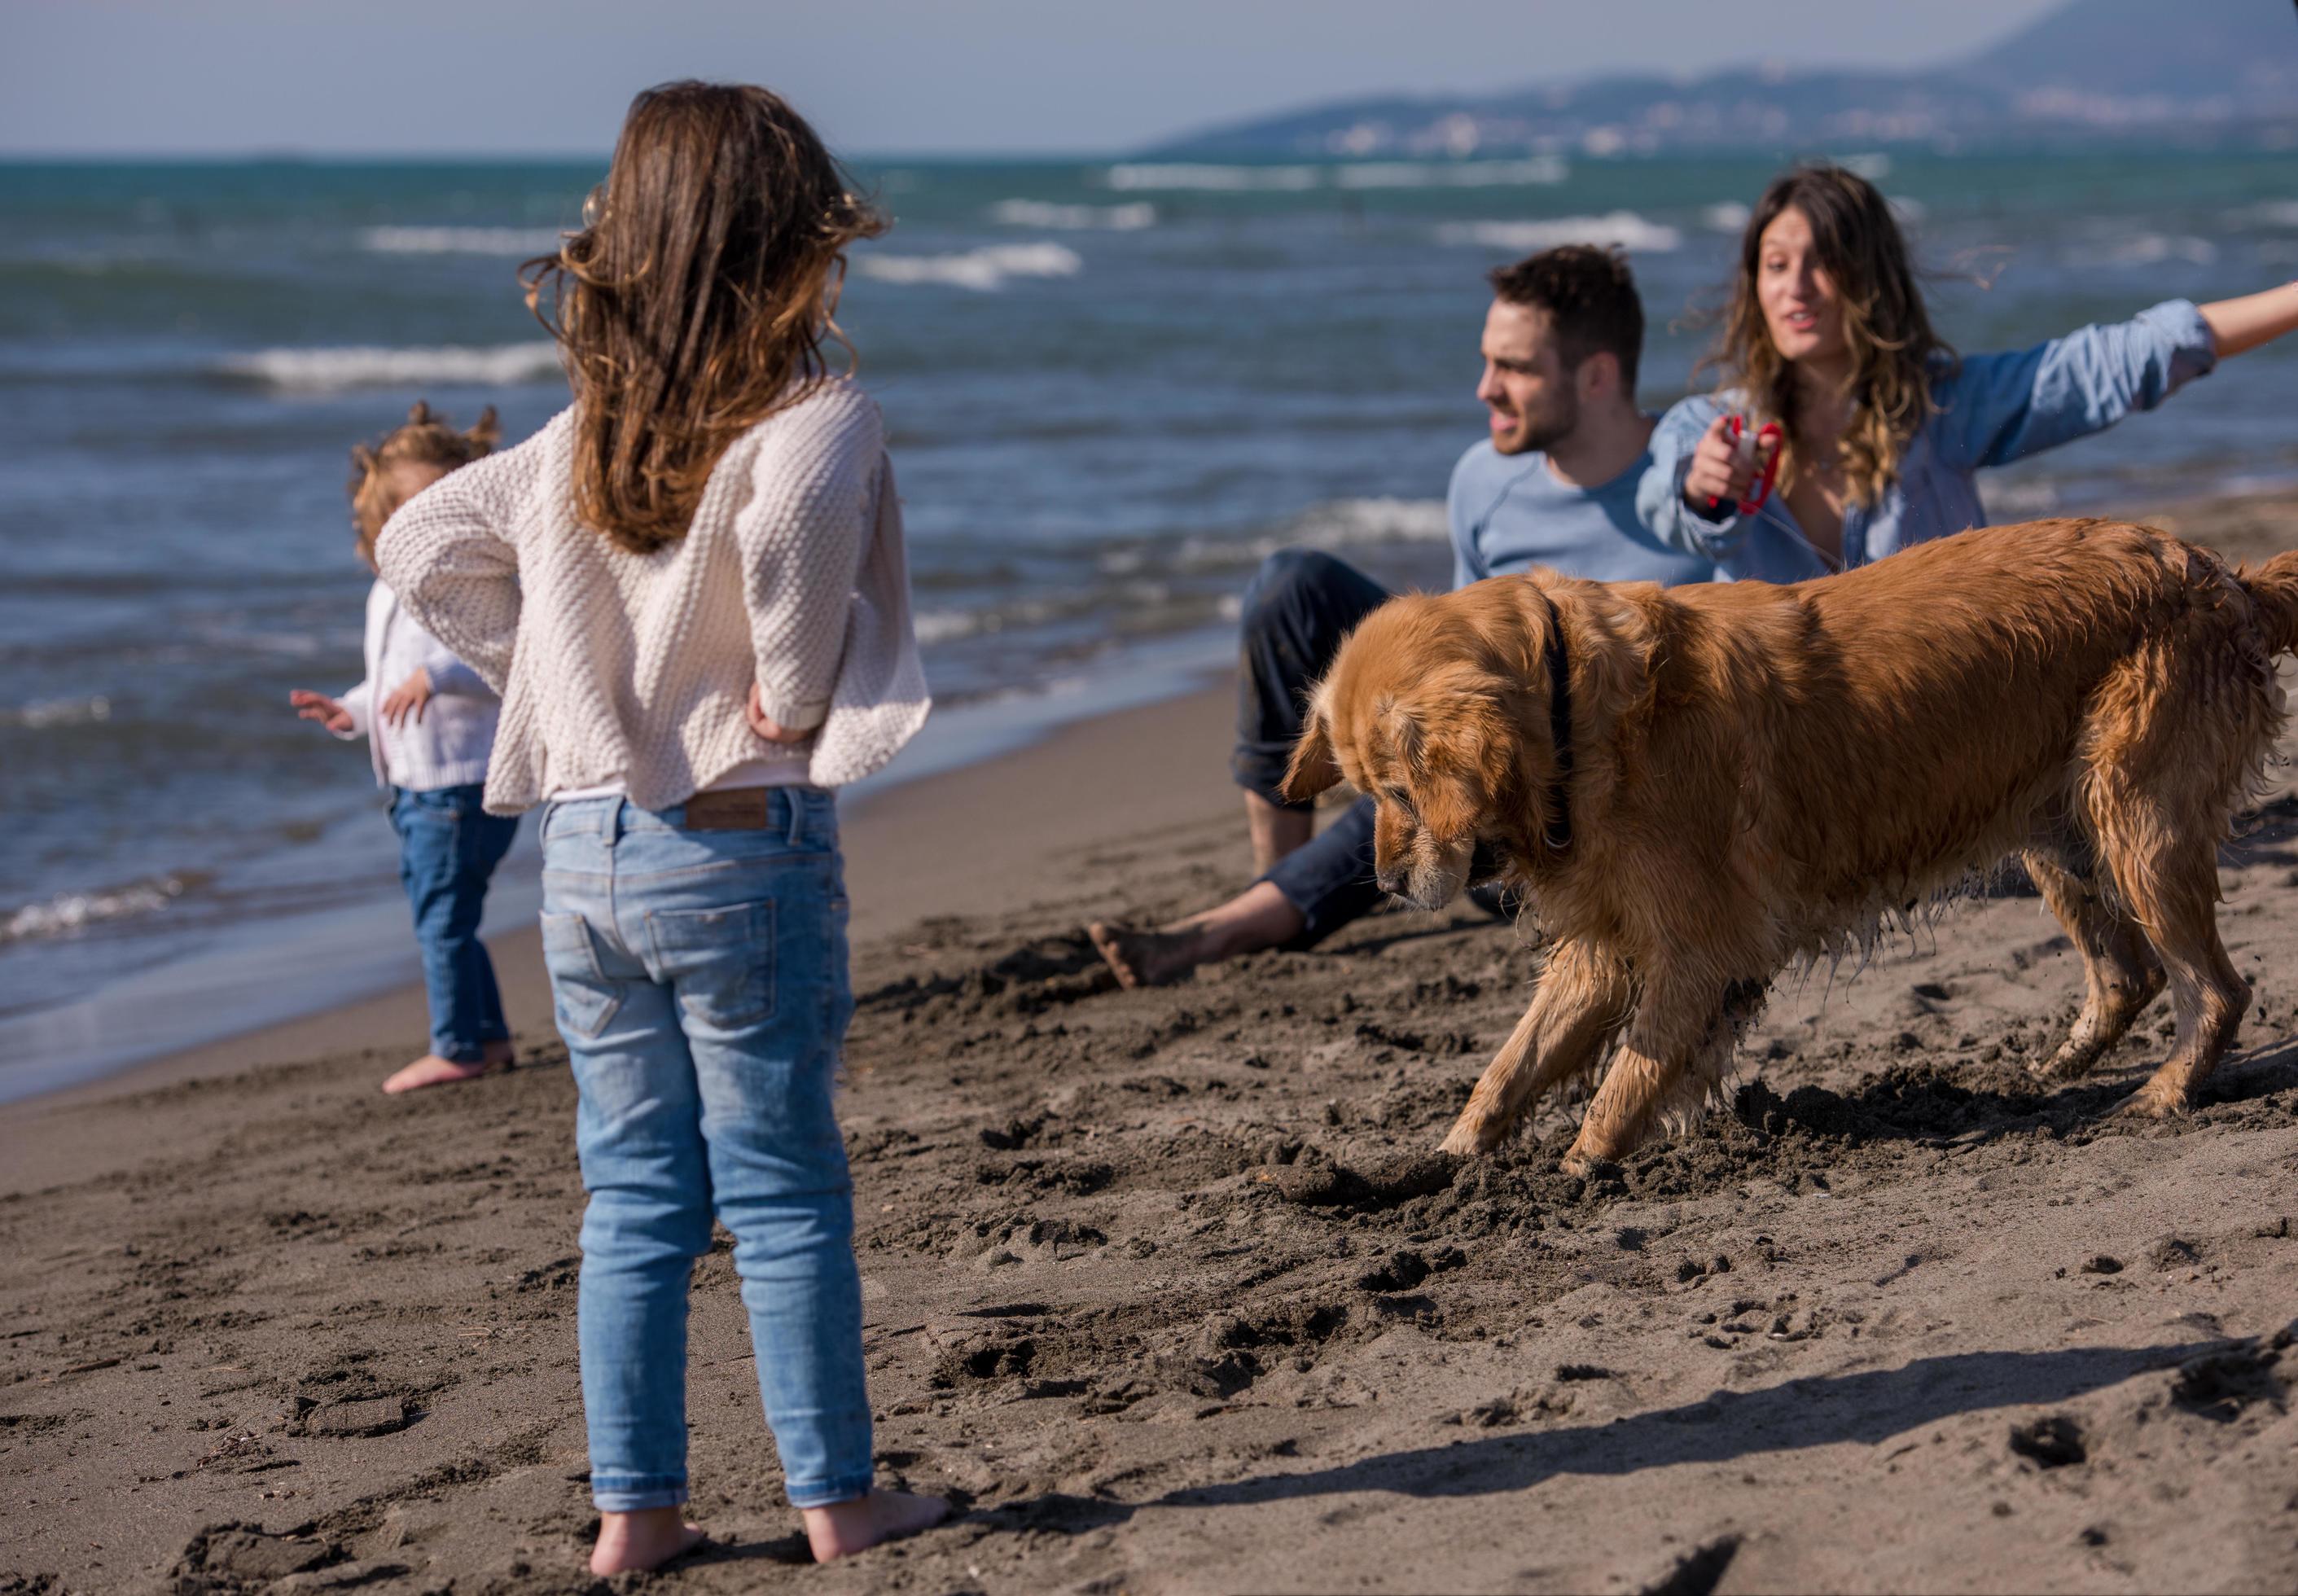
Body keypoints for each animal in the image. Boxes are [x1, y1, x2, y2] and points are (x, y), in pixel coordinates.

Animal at [1287, 521, 2298, 1175]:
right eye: (1364, 792)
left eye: (1395, 793)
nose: (1385, 880)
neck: (1575, 716)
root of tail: (2222, 571)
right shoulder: (1604, 948)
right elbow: (1509, 1067)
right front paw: (1444, 1162)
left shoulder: (1697, 947)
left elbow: (1630, 1074)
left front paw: (1576, 1171)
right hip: (2058, 831)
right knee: (2128, 973)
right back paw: (2049, 1071)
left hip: (2134, 818)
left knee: (2213, 986)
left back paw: (2162, 1094)